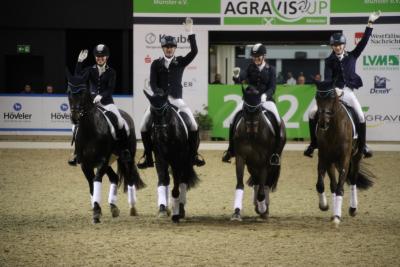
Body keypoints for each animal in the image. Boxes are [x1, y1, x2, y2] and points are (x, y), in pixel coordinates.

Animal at [65, 70, 145, 224]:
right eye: (69, 92)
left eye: (83, 92)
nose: (75, 117)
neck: (90, 130)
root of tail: (126, 115)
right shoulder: (86, 164)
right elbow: (92, 185)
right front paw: (97, 210)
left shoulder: (102, 160)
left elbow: (96, 180)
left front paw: (96, 211)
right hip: (109, 161)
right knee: (114, 178)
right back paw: (113, 207)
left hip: (126, 157)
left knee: (130, 178)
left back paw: (132, 208)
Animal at [144, 90, 200, 224]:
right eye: (152, 113)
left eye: (166, 111)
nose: (161, 135)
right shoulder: (160, 158)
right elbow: (163, 180)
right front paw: (163, 210)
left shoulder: (177, 160)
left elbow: (176, 186)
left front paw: (176, 214)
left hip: (186, 162)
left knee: (183, 181)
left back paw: (181, 209)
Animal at [230, 86, 286, 222]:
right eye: (245, 109)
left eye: (258, 109)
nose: (251, 132)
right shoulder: (241, 158)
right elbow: (240, 185)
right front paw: (236, 213)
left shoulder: (264, 162)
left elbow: (262, 190)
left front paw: (262, 208)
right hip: (252, 164)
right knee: (256, 181)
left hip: (271, 163)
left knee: (265, 184)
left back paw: (264, 210)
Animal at [314, 81, 374, 226]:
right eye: (317, 97)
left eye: (332, 98)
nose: (323, 123)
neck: (333, 130)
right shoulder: (323, 158)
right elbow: (320, 185)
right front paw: (324, 206)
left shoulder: (344, 160)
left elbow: (340, 188)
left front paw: (337, 216)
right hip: (331, 162)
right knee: (333, 185)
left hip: (356, 158)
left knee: (353, 180)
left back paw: (353, 209)